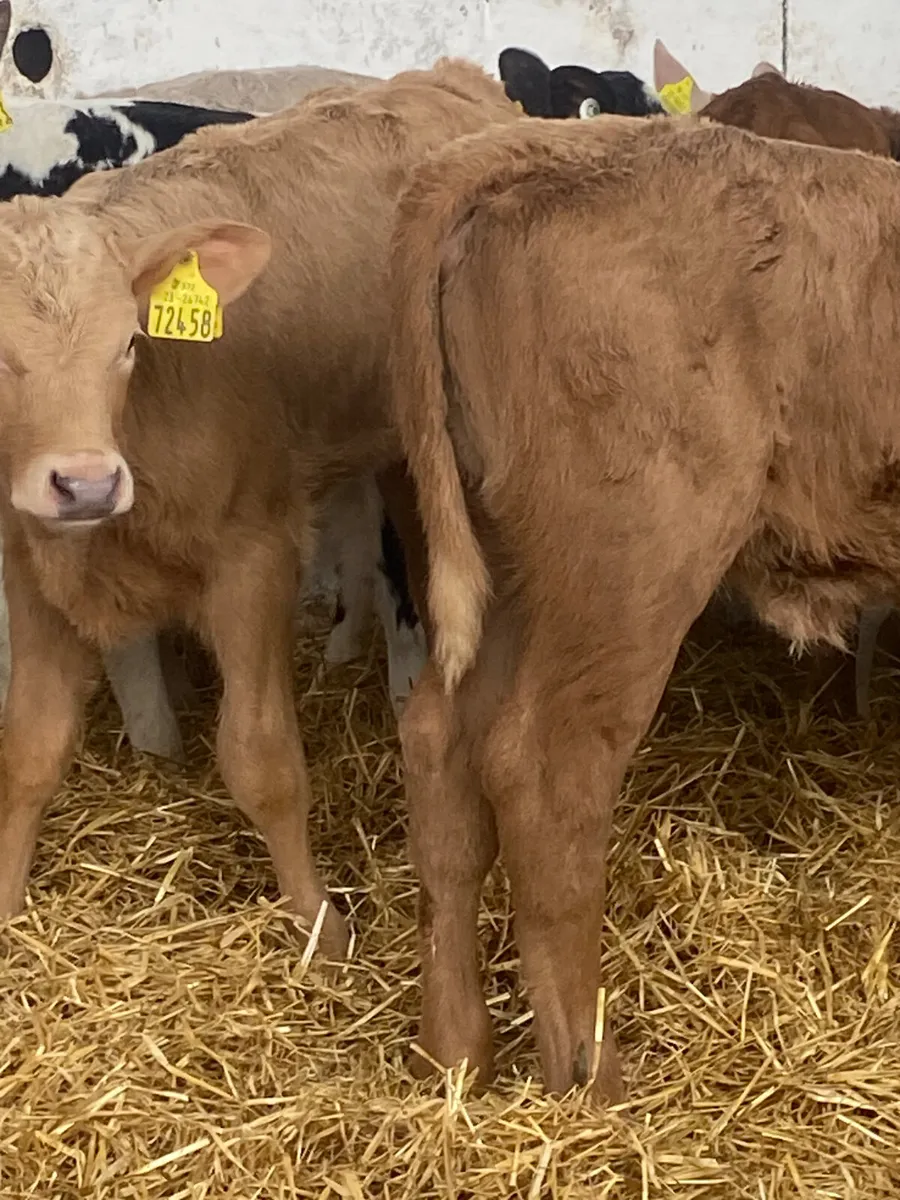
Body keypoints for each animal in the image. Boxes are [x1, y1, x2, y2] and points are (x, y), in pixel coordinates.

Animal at [0, 59, 520, 955]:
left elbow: (262, 760)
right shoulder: (31, 569)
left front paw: (318, 925)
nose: (86, 483)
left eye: (128, 343)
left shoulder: (254, 558)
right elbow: (29, 750)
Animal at [387, 111, 900, 1101]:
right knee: (547, 775)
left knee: (443, 749)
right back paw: (592, 1075)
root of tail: (522, 150)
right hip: (633, 567)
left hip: (515, 568)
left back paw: (457, 1055)